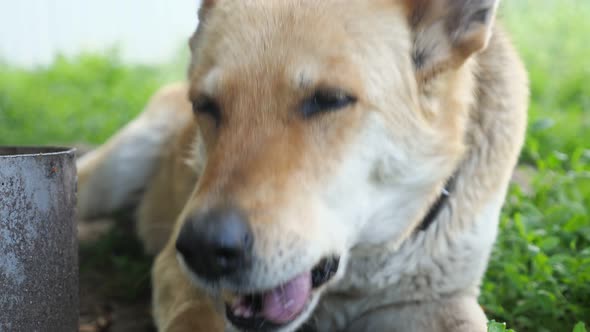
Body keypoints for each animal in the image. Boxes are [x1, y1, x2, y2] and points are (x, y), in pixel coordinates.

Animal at [76, 1, 528, 330]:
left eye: (329, 100)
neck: (357, 267)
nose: (203, 248)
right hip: (112, 171)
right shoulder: (177, 271)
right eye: (205, 105)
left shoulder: (439, 301)